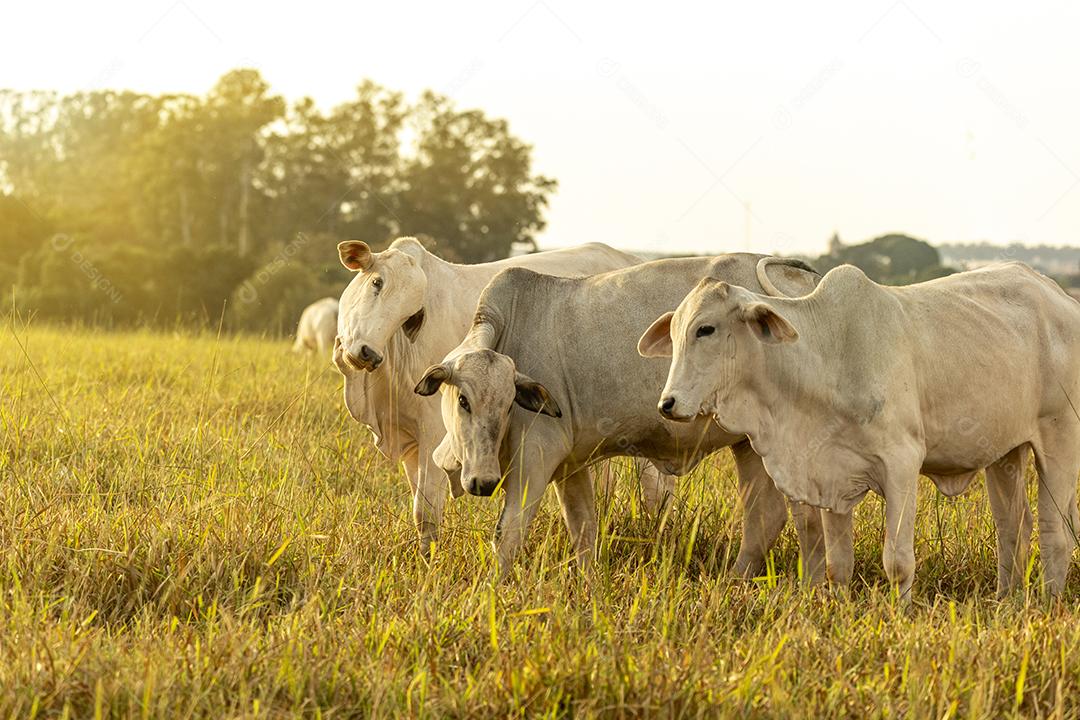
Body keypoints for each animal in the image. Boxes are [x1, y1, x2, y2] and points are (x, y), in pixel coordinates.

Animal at [332, 236, 673, 552]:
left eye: (412, 315)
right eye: (377, 282)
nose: (367, 353)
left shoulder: (433, 433)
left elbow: (426, 511)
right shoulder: (409, 443)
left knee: (657, 486)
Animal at [416, 255, 820, 578]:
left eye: (507, 401)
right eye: (463, 400)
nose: (482, 482)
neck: (511, 328)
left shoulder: (536, 455)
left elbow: (509, 530)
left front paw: (490, 589)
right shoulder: (571, 466)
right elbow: (583, 529)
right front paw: (587, 584)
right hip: (749, 445)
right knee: (765, 516)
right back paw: (736, 580)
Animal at [643, 262, 1080, 600]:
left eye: (706, 329)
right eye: (676, 330)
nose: (667, 403)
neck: (827, 354)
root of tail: (1062, 297)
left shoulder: (902, 464)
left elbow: (898, 560)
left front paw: (902, 613)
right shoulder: (830, 475)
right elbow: (838, 565)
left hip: (1059, 441)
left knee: (1053, 532)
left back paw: (1047, 603)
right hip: (1005, 453)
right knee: (1014, 529)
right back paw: (1007, 599)